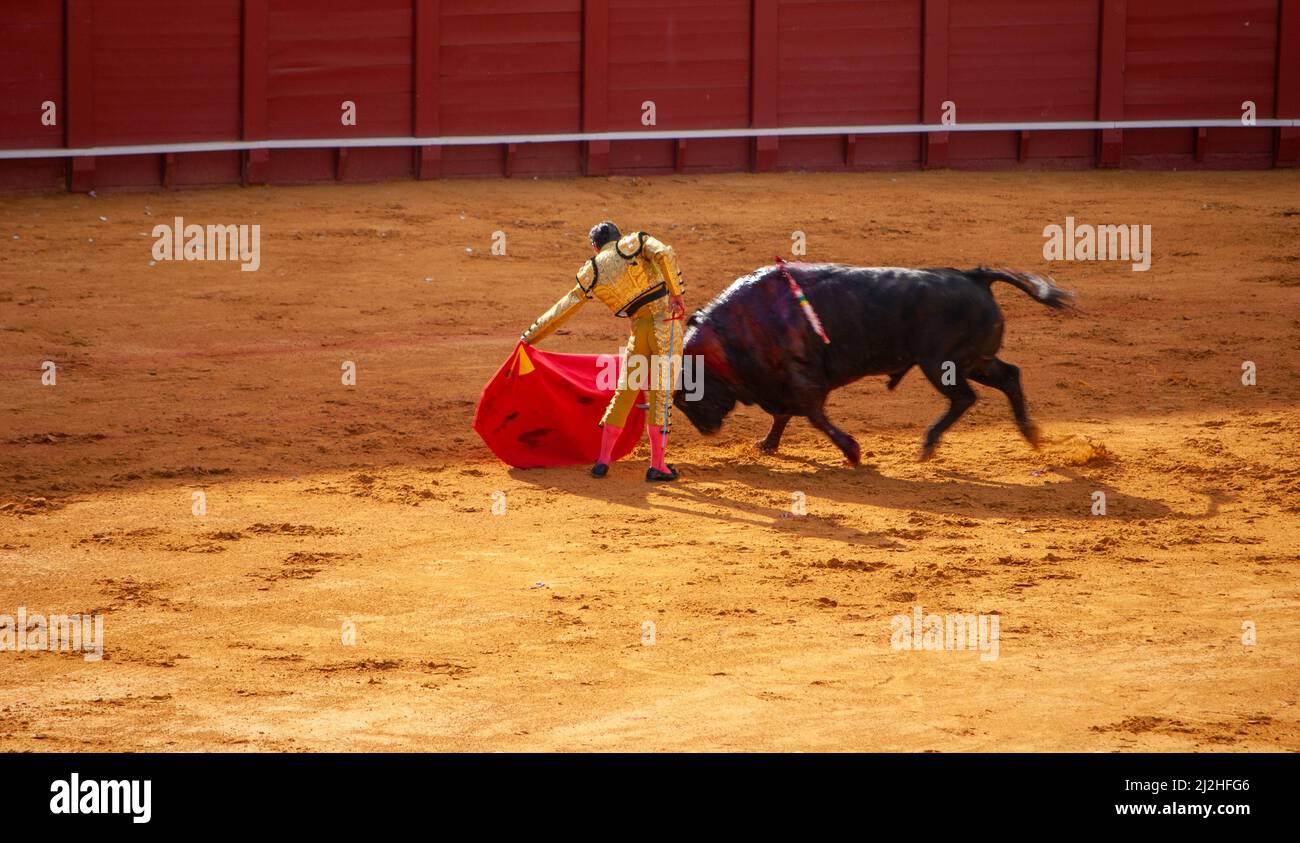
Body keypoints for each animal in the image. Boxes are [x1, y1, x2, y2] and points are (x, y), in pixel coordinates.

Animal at [670, 262, 1076, 463]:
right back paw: (1030, 433)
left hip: (942, 364)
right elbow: (783, 416)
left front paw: (852, 451)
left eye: (687, 396)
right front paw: (767, 445)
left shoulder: (801, 381)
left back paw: (929, 444)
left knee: (965, 397)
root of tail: (975, 276)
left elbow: (813, 416)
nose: (706, 430)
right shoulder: (781, 383)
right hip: (975, 360)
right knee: (1009, 376)